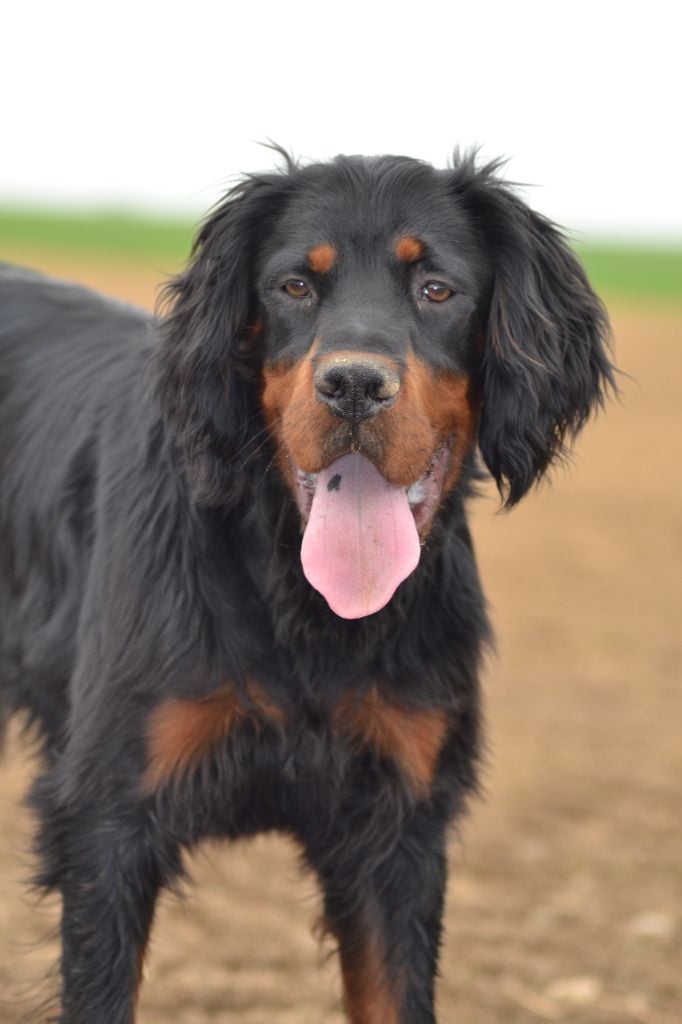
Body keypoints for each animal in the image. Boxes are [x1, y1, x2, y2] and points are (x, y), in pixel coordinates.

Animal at [0, 149, 613, 1023]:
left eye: (437, 289)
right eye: (294, 285)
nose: (354, 385)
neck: (304, 601)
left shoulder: (397, 830)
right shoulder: (108, 821)